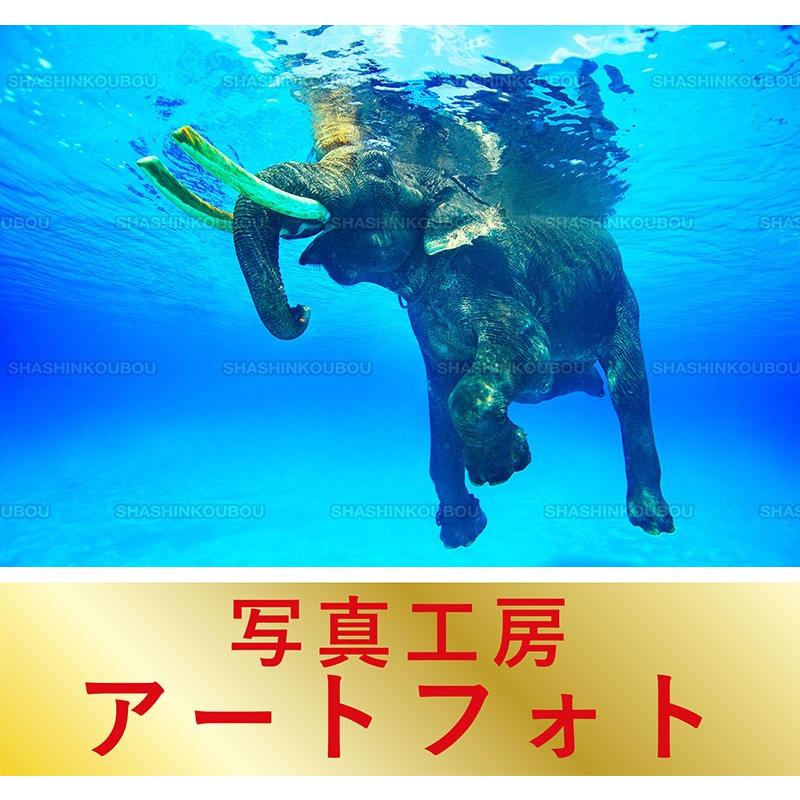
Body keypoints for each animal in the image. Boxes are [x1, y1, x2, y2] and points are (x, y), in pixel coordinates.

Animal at [137, 88, 674, 549]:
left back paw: (650, 518)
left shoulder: (496, 278)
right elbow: (439, 398)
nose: (301, 311)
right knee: (550, 385)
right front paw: (463, 530)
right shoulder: (425, 323)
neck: (448, 187)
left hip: (622, 302)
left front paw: (502, 466)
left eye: (377, 167)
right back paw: (588, 385)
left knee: (625, 389)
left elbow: (515, 360)